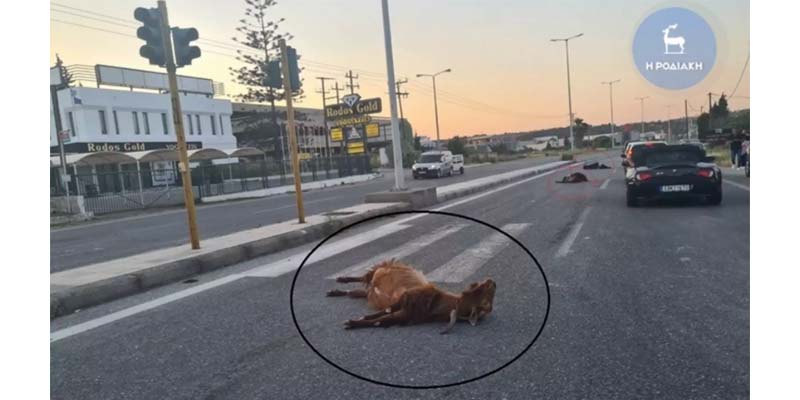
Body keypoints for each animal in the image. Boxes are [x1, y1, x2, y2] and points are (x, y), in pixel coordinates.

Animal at [326, 259, 496, 334]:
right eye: (481, 288)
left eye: (486, 304)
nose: (492, 281)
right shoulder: (407, 298)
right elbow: (382, 313)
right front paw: (356, 320)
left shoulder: (406, 312)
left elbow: (381, 319)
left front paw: (353, 322)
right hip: (384, 267)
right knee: (364, 276)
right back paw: (340, 279)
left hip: (370, 291)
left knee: (358, 291)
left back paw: (336, 291)